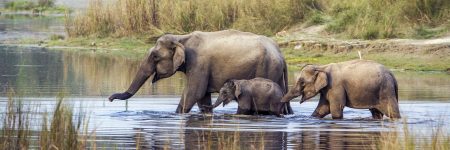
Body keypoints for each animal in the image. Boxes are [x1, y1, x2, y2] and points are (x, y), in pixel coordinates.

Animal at [107, 29, 294, 114]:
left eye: (154, 56)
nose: (109, 99)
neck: (181, 38)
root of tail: (281, 54)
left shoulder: (199, 64)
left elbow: (193, 93)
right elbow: (202, 96)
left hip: (267, 69)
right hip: (277, 74)